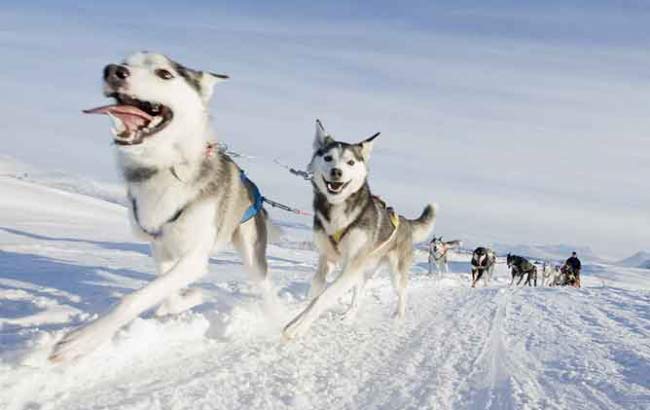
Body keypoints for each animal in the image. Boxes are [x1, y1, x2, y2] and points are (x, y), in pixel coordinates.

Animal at [49, 52, 270, 362]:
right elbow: (166, 293)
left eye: (165, 74)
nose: (113, 70)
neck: (164, 168)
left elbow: (136, 297)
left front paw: (83, 339)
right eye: (125, 61)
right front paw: (189, 299)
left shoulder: (193, 258)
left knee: (268, 291)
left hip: (252, 255)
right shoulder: (161, 248)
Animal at [280, 121, 436, 340]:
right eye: (328, 158)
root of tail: (404, 221)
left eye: (351, 162)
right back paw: (349, 315)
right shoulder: (326, 260)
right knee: (358, 295)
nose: (336, 172)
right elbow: (315, 292)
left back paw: (398, 316)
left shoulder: (351, 265)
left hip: (394, 273)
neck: (338, 210)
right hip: (362, 269)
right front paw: (299, 316)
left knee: (402, 294)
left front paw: (298, 327)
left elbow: (324, 297)